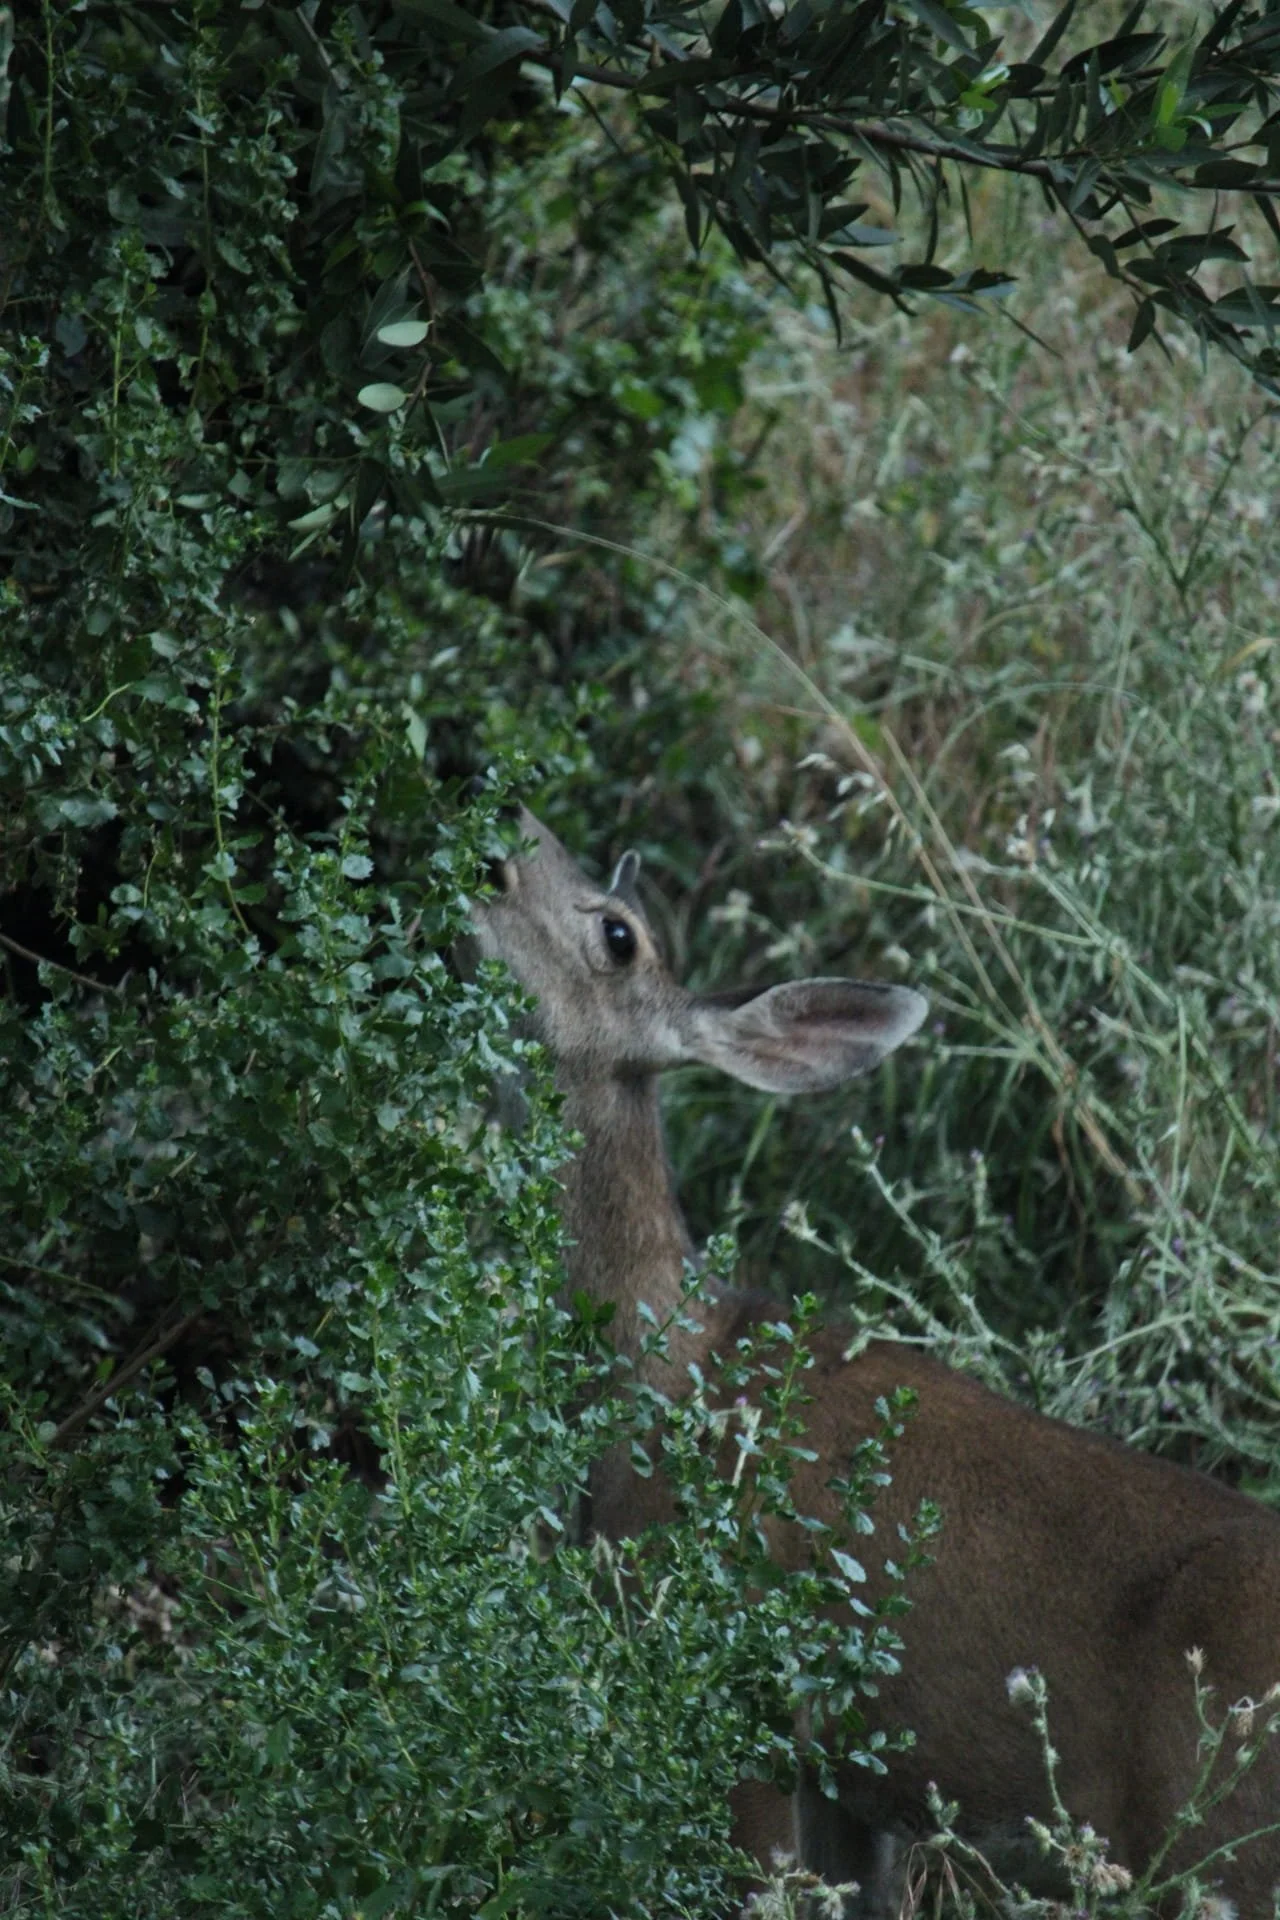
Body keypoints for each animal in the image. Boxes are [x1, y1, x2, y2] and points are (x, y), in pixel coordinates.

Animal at [470, 806, 1280, 1917]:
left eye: (617, 933)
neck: (668, 1369)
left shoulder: (736, 1685)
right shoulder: (844, 1781)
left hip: (1219, 1849)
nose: (497, 843)